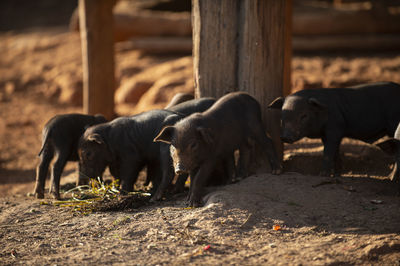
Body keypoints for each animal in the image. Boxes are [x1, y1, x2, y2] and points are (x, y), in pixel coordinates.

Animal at [154, 90, 282, 207]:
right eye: (173, 146)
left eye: (193, 144)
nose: (179, 169)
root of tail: (252, 98)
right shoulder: (193, 163)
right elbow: (193, 178)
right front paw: (187, 201)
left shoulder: (211, 157)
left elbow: (199, 178)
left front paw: (193, 204)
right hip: (241, 136)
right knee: (246, 148)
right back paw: (238, 178)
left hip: (255, 123)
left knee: (267, 141)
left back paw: (276, 171)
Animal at [268, 81, 400, 177]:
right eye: (282, 115)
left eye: (304, 116)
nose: (285, 137)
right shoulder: (325, 135)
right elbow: (334, 152)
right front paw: (337, 174)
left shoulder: (335, 128)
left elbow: (328, 151)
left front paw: (323, 175)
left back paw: (389, 176)